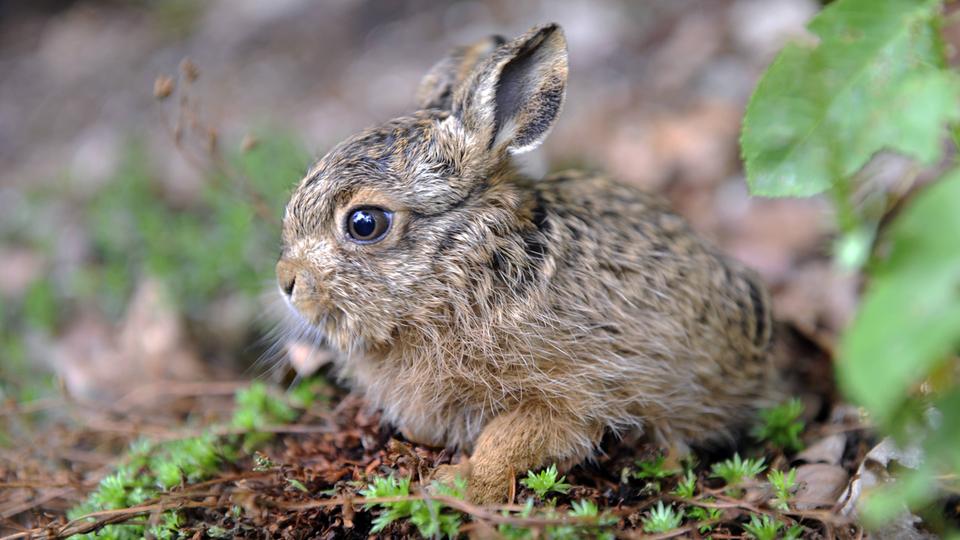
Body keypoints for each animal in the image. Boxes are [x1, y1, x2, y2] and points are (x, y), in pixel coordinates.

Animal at [276, 23, 772, 504]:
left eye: (365, 223)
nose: (287, 282)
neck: (467, 268)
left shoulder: (574, 390)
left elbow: (511, 438)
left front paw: (460, 485)